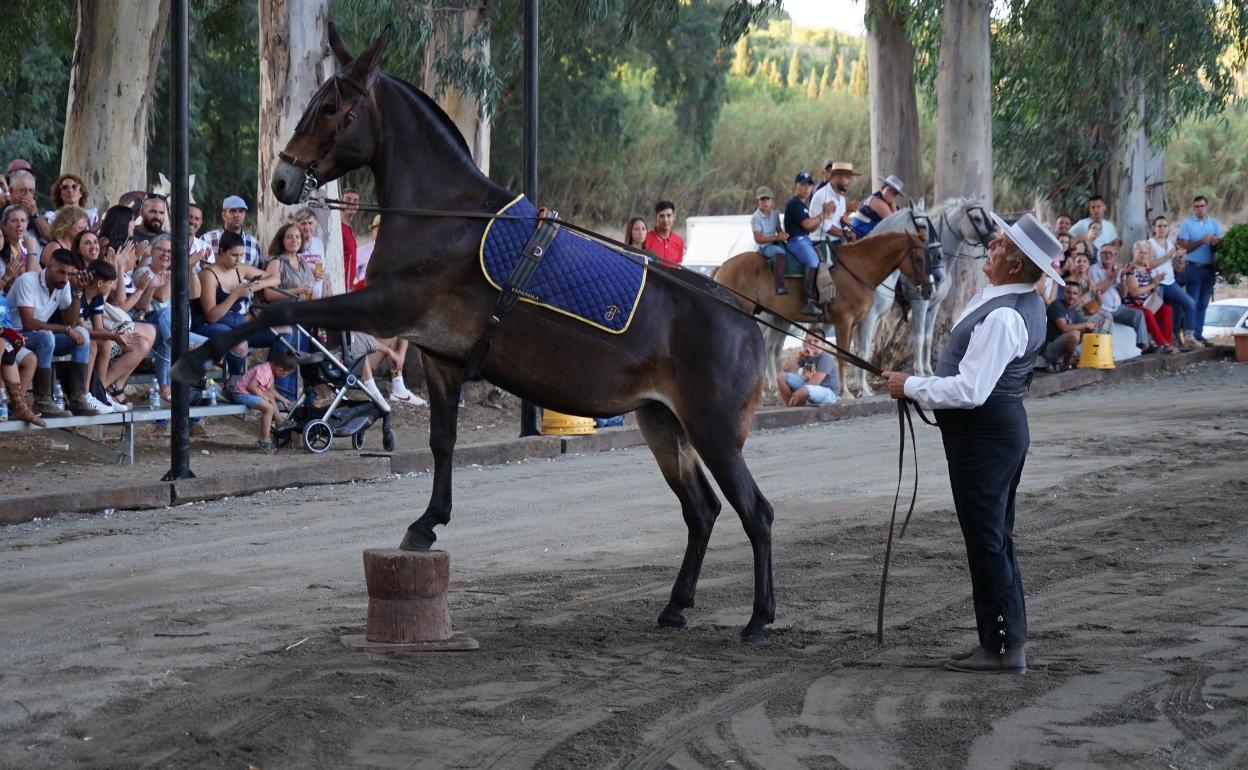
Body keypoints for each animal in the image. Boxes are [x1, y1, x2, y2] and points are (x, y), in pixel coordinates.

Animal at [169, 26, 778, 643]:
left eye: (332, 109)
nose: (282, 179)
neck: (443, 216)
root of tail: (747, 319)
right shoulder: (439, 355)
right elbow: (444, 442)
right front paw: (426, 524)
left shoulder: (384, 307)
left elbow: (277, 312)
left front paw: (192, 363)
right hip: (663, 424)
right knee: (702, 511)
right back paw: (677, 605)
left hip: (713, 432)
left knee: (756, 512)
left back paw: (759, 617)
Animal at [713, 229, 938, 399]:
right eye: (919, 258)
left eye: (930, 257)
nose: (929, 290)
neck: (858, 269)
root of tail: (723, 266)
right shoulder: (844, 322)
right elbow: (842, 356)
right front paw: (846, 392)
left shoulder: (856, 323)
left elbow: (858, 354)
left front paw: (861, 389)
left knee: (768, 348)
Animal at [848, 198, 993, 394]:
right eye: (977, 218)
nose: (993, 238)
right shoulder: (920, 304)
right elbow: (918, 337)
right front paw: (919, 371)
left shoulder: (933, 306)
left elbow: (927, 338)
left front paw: (928, 371)